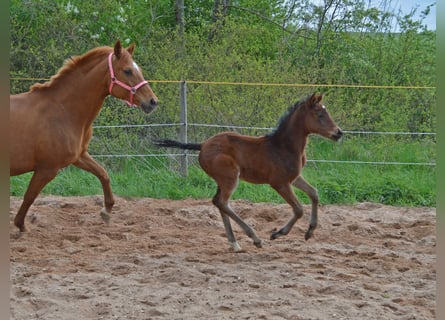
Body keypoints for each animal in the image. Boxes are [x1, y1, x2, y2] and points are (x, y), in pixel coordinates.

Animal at [9, 40, 160, 231]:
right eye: (127, 71)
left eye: (138, 68)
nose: (153, 102)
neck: (63, 111)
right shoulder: (47, 169)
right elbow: (29, 196)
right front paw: (20, 226)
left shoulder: (79, 156)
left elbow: (103, 174)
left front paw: (106, 212)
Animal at [154, 94, 342, 251]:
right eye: (320, 115)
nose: (339, 133)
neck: (284, 146)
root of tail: (202, 145)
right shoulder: (279, 183)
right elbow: (298, 209)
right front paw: (277, 234)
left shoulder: (293, 178)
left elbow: (314, 193)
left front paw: (310, 232)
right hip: (230, 177)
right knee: (222, 202)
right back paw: (254, 238)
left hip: (222, 180)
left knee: (217, 201)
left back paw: (235, 243)